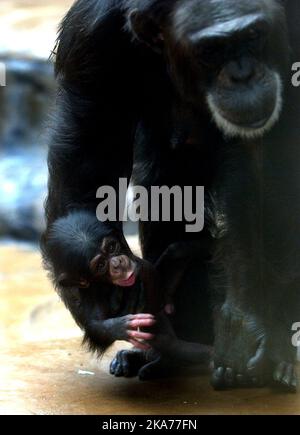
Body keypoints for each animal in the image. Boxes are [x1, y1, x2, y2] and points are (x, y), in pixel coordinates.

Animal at [41, 0, 300, 392]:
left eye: (253, 34)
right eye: (210, 50)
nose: (242, 75)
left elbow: (266, 156)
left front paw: (248, 323)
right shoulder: (88, 38)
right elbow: (89, 148)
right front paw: (95, 299)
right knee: (163, 184)